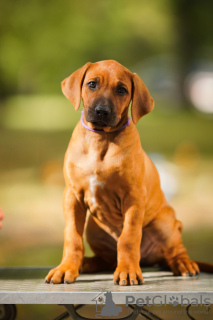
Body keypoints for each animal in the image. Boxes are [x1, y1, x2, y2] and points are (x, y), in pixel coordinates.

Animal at [45, 60, 201, 284]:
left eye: (122, 90)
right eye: (91, 84)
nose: (101, 111)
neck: (100, 140)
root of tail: (148, 259)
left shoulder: (133, 198)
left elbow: (128, 238)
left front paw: (127, 270)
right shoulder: (72, 196)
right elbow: (72, 236)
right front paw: (66, 268)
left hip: (166, 223)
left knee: (175, 250)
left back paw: (183, 264)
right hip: (93, 228)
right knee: (107, 259)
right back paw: (87, 263)